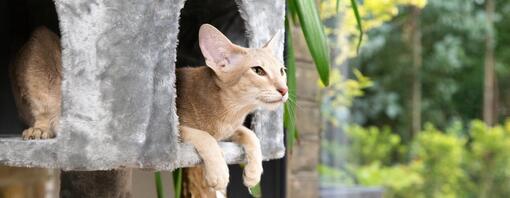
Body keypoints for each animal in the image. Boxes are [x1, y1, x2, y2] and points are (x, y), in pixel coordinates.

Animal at [176, 23, 286, 196]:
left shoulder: (230, 129)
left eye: (282, 71)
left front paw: (254, 173)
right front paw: (219, 173)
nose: (284, 90)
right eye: (258, 70)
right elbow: (205, 136)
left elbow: (251, 135)